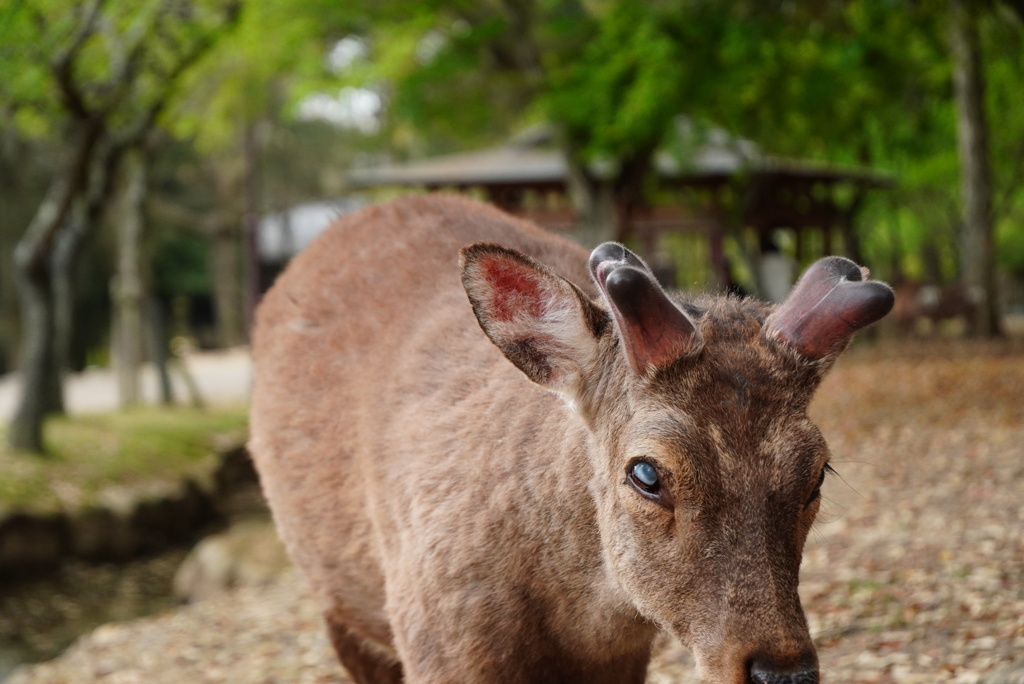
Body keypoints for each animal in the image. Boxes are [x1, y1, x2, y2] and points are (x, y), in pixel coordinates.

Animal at [249, 193, 897, 684]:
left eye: (818, 471)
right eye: (646, 472)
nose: (783, 673)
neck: (575, 623)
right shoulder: (437, 647)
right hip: (340, 606)